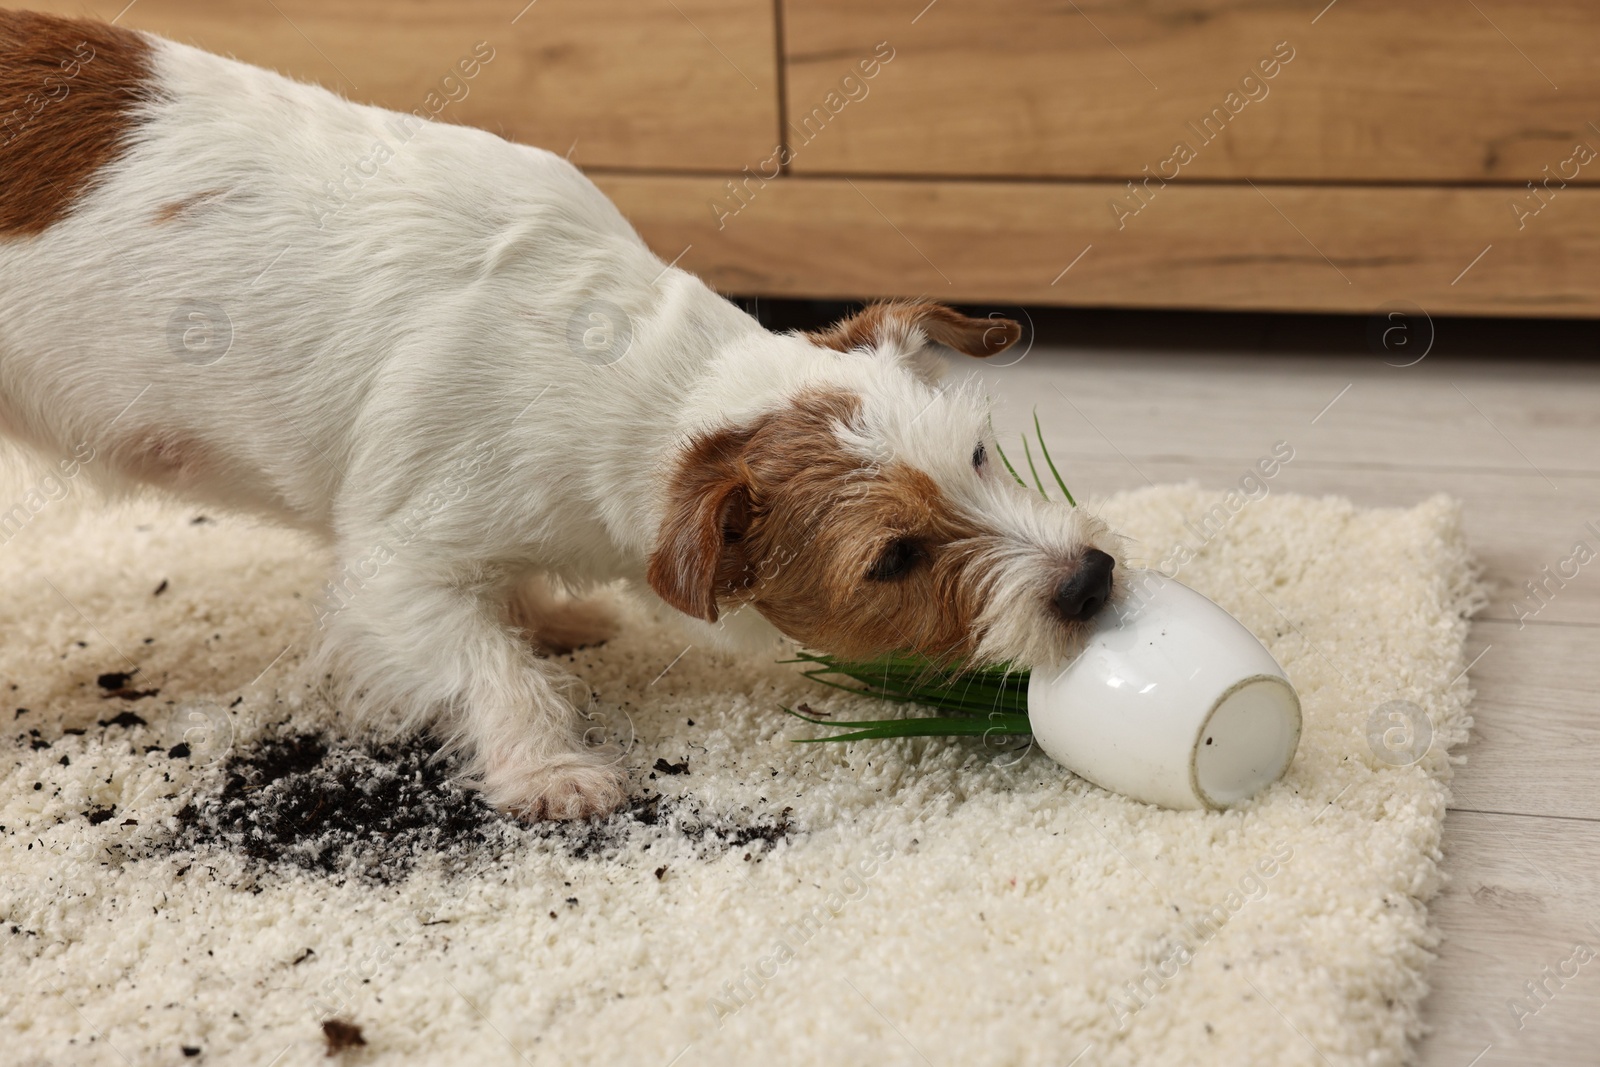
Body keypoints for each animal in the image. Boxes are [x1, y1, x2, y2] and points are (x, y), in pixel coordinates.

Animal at [0, 10, 1126, 819]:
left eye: (977, 453)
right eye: (893, 558)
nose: (1089, 578)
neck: (632, 369)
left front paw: (541, 608)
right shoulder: (393, 570)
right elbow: (488, 665)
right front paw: (549, 767)